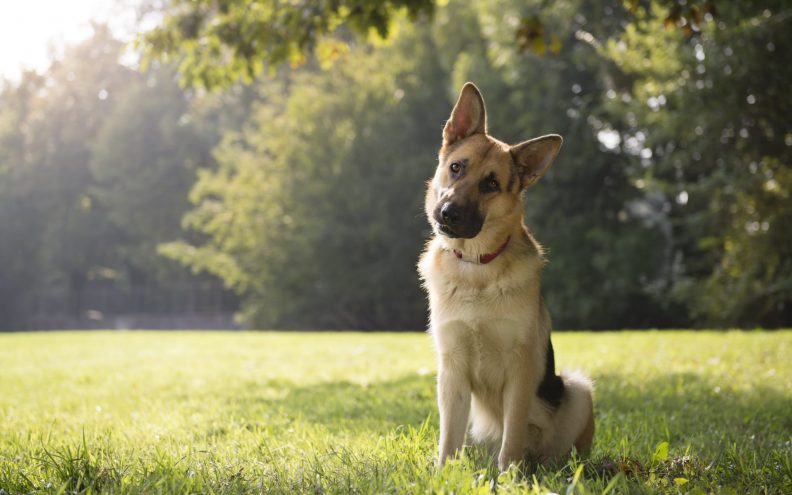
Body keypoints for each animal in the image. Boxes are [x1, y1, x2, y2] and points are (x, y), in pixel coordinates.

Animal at [420, 83, 592, 470]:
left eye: (491, 184)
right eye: (456, 167)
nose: (448, 213)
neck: (476, 266)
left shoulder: (520, 370)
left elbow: (512, 433)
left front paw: (511, 474)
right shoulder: (451, 371)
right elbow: (448, 438)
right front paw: (443, 473)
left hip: (577, 388)